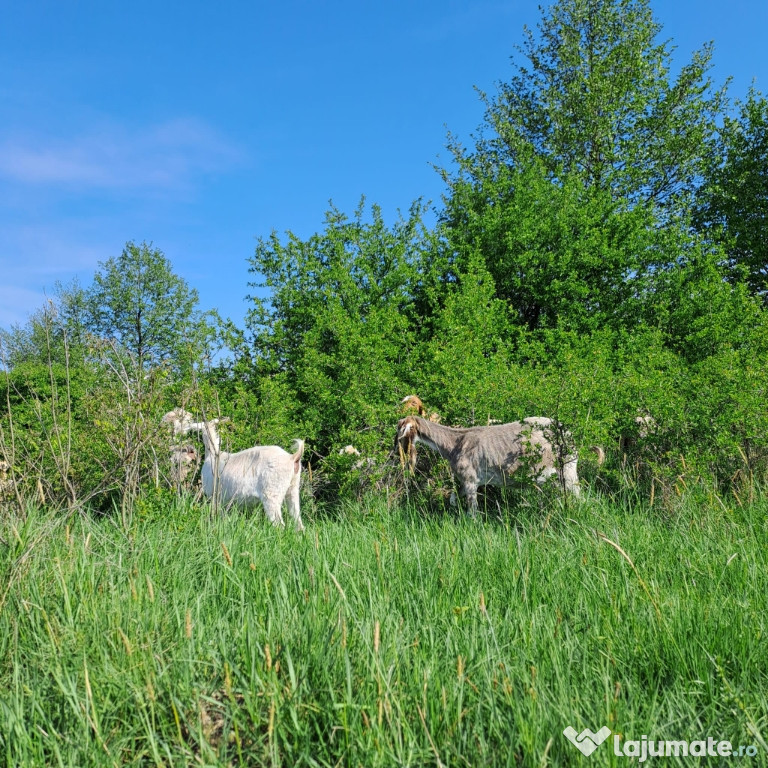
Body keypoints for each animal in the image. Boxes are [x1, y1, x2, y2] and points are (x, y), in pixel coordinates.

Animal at [396, 412, 584, 512]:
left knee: (577, 494)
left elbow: (472, 511)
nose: (397, 450)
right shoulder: (466, 481)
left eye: (402, 430)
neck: (454, 443)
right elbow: (453, 498)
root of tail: (568, 433)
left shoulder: (470, 478)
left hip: (566, 467)